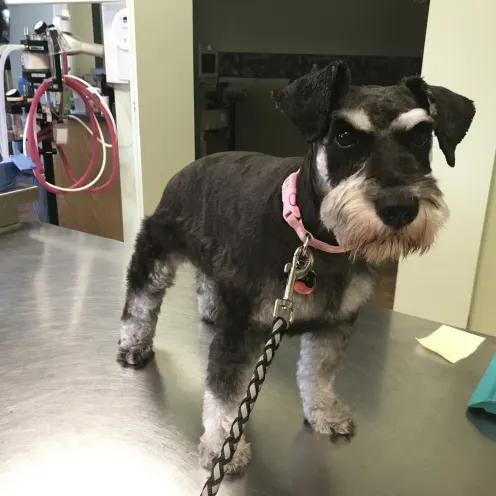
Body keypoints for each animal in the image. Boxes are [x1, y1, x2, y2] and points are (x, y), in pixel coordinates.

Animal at [117, 61, 476, 472]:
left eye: (421, 136)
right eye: (344, 136)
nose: (399, 207)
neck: (313, 237)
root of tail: (191, 166)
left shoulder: (334, 323)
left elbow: (318, 374)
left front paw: (323, 413)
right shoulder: (239, 331)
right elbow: (225, 394)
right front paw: (223, 445)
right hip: (156, 248)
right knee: (141, 298)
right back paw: (134, 343)